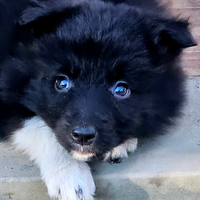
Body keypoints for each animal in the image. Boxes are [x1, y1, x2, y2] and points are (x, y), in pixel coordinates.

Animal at [0, 0, 196, 199]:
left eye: (121, 89)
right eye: (62, 82)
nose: (83, 136)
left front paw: (121, 143)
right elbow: (40, 128)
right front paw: (70, 177)